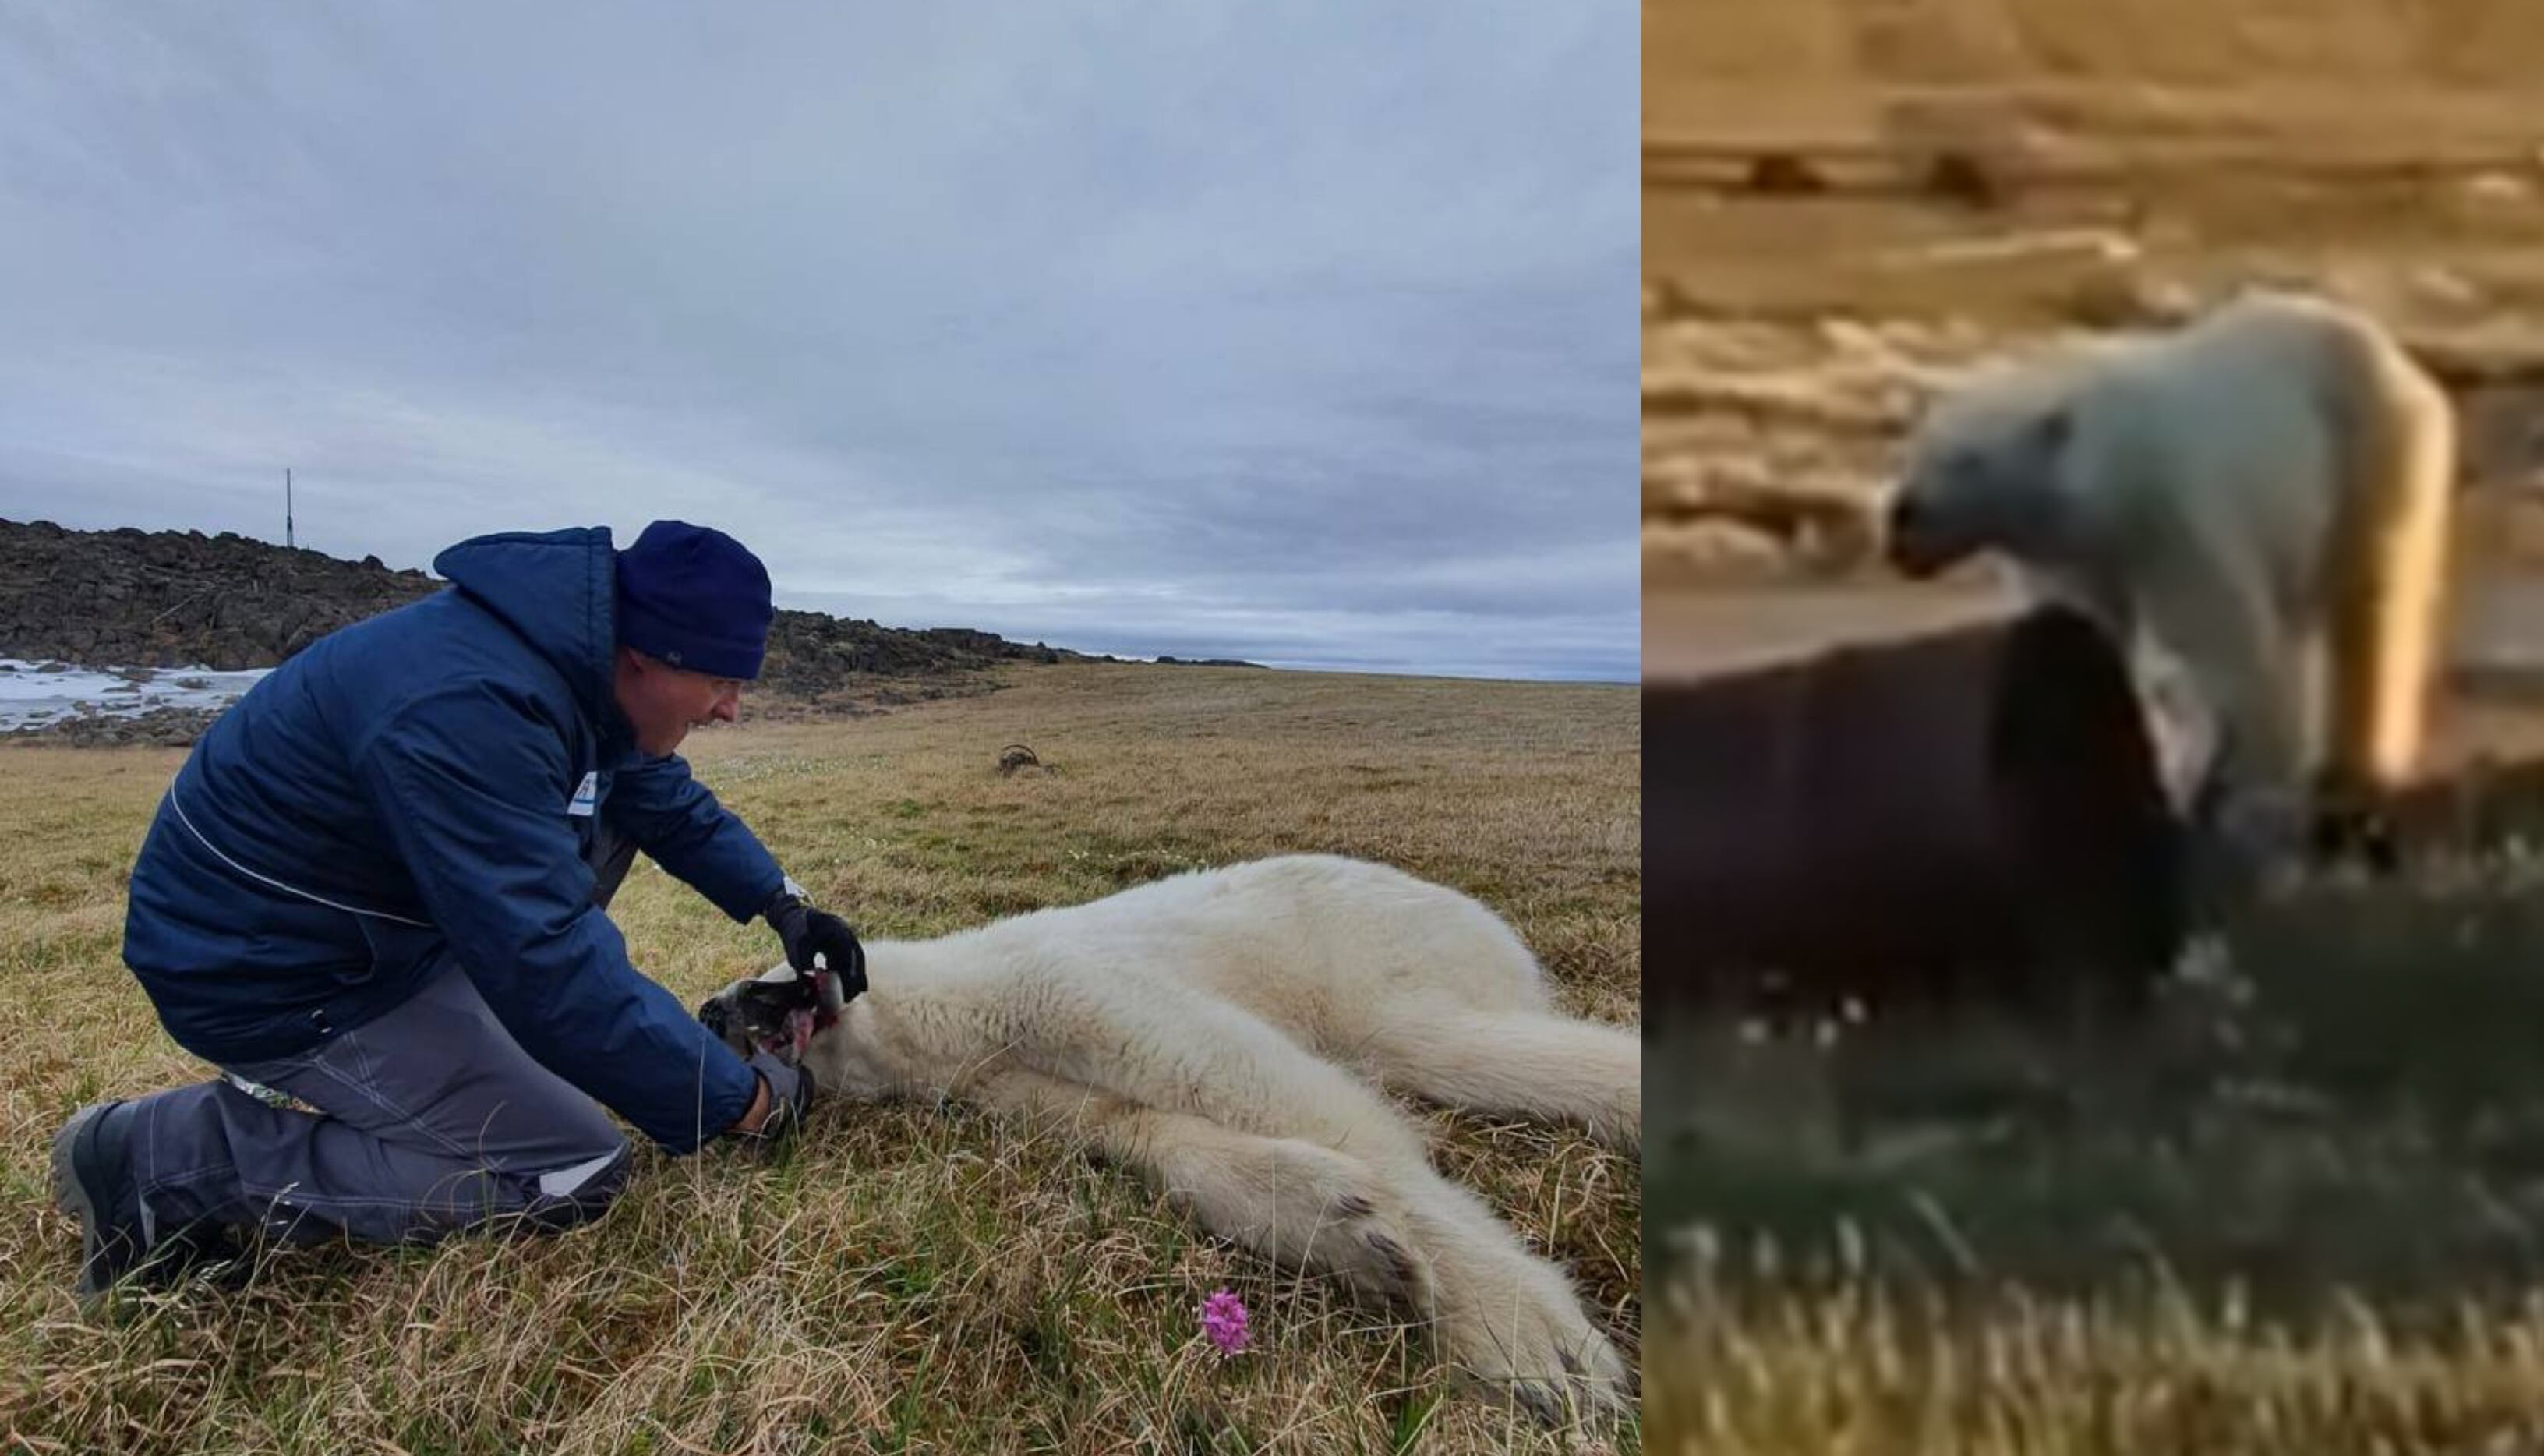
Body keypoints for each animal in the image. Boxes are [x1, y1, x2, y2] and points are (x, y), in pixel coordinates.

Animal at [1881, 287, 2457, 894]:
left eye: (1968, 460)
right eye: (1917, 449)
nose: (1902, 516)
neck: (2114, 486)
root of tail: (2392, 352)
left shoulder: (2175, 519)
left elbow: (2225, 651)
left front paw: (2235, 794)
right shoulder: (2074, 560)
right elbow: (2089, 635)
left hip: (2371, 455)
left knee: (2372, 611)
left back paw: (2355, 768)